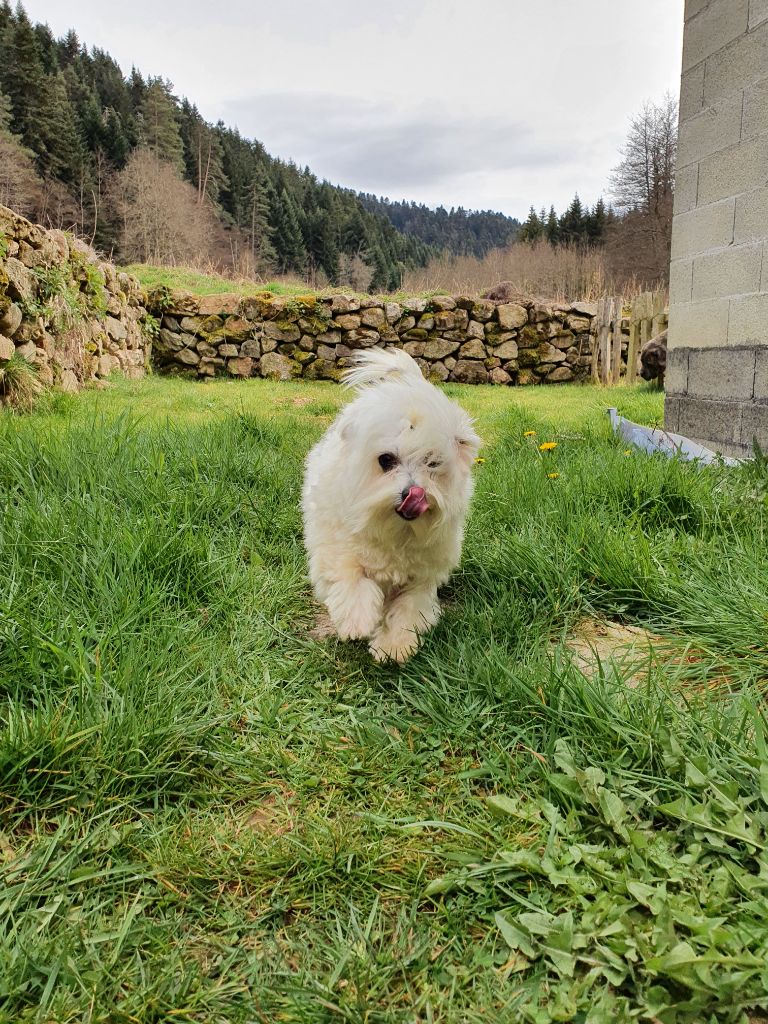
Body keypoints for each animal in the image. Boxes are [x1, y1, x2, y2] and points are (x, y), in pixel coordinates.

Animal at [303, 346, 479, 663]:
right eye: (386, 460)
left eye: (433, 462)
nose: (414, 493)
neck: (394, 530)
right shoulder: (335, 544)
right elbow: (349, 573)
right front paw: (357, 619)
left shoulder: (423, 573)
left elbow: (409, 607)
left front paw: (395, 644)